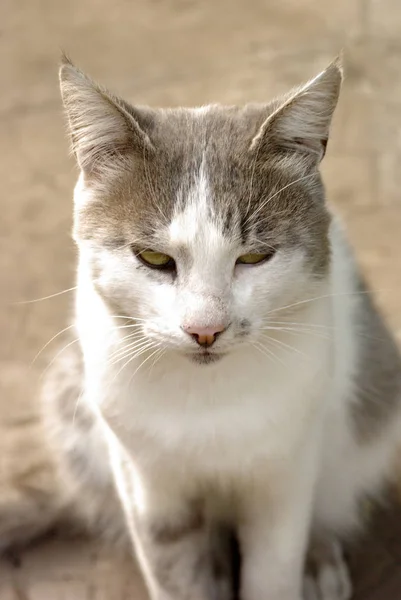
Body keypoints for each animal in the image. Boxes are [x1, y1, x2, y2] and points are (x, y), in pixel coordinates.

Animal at [1, 55, 398, 600]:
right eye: (153, 258)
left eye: (254, 257)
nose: (205, 329)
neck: (208, 400)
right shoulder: (149, 485)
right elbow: (178, 571)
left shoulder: (283, 476)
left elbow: (273, 568)